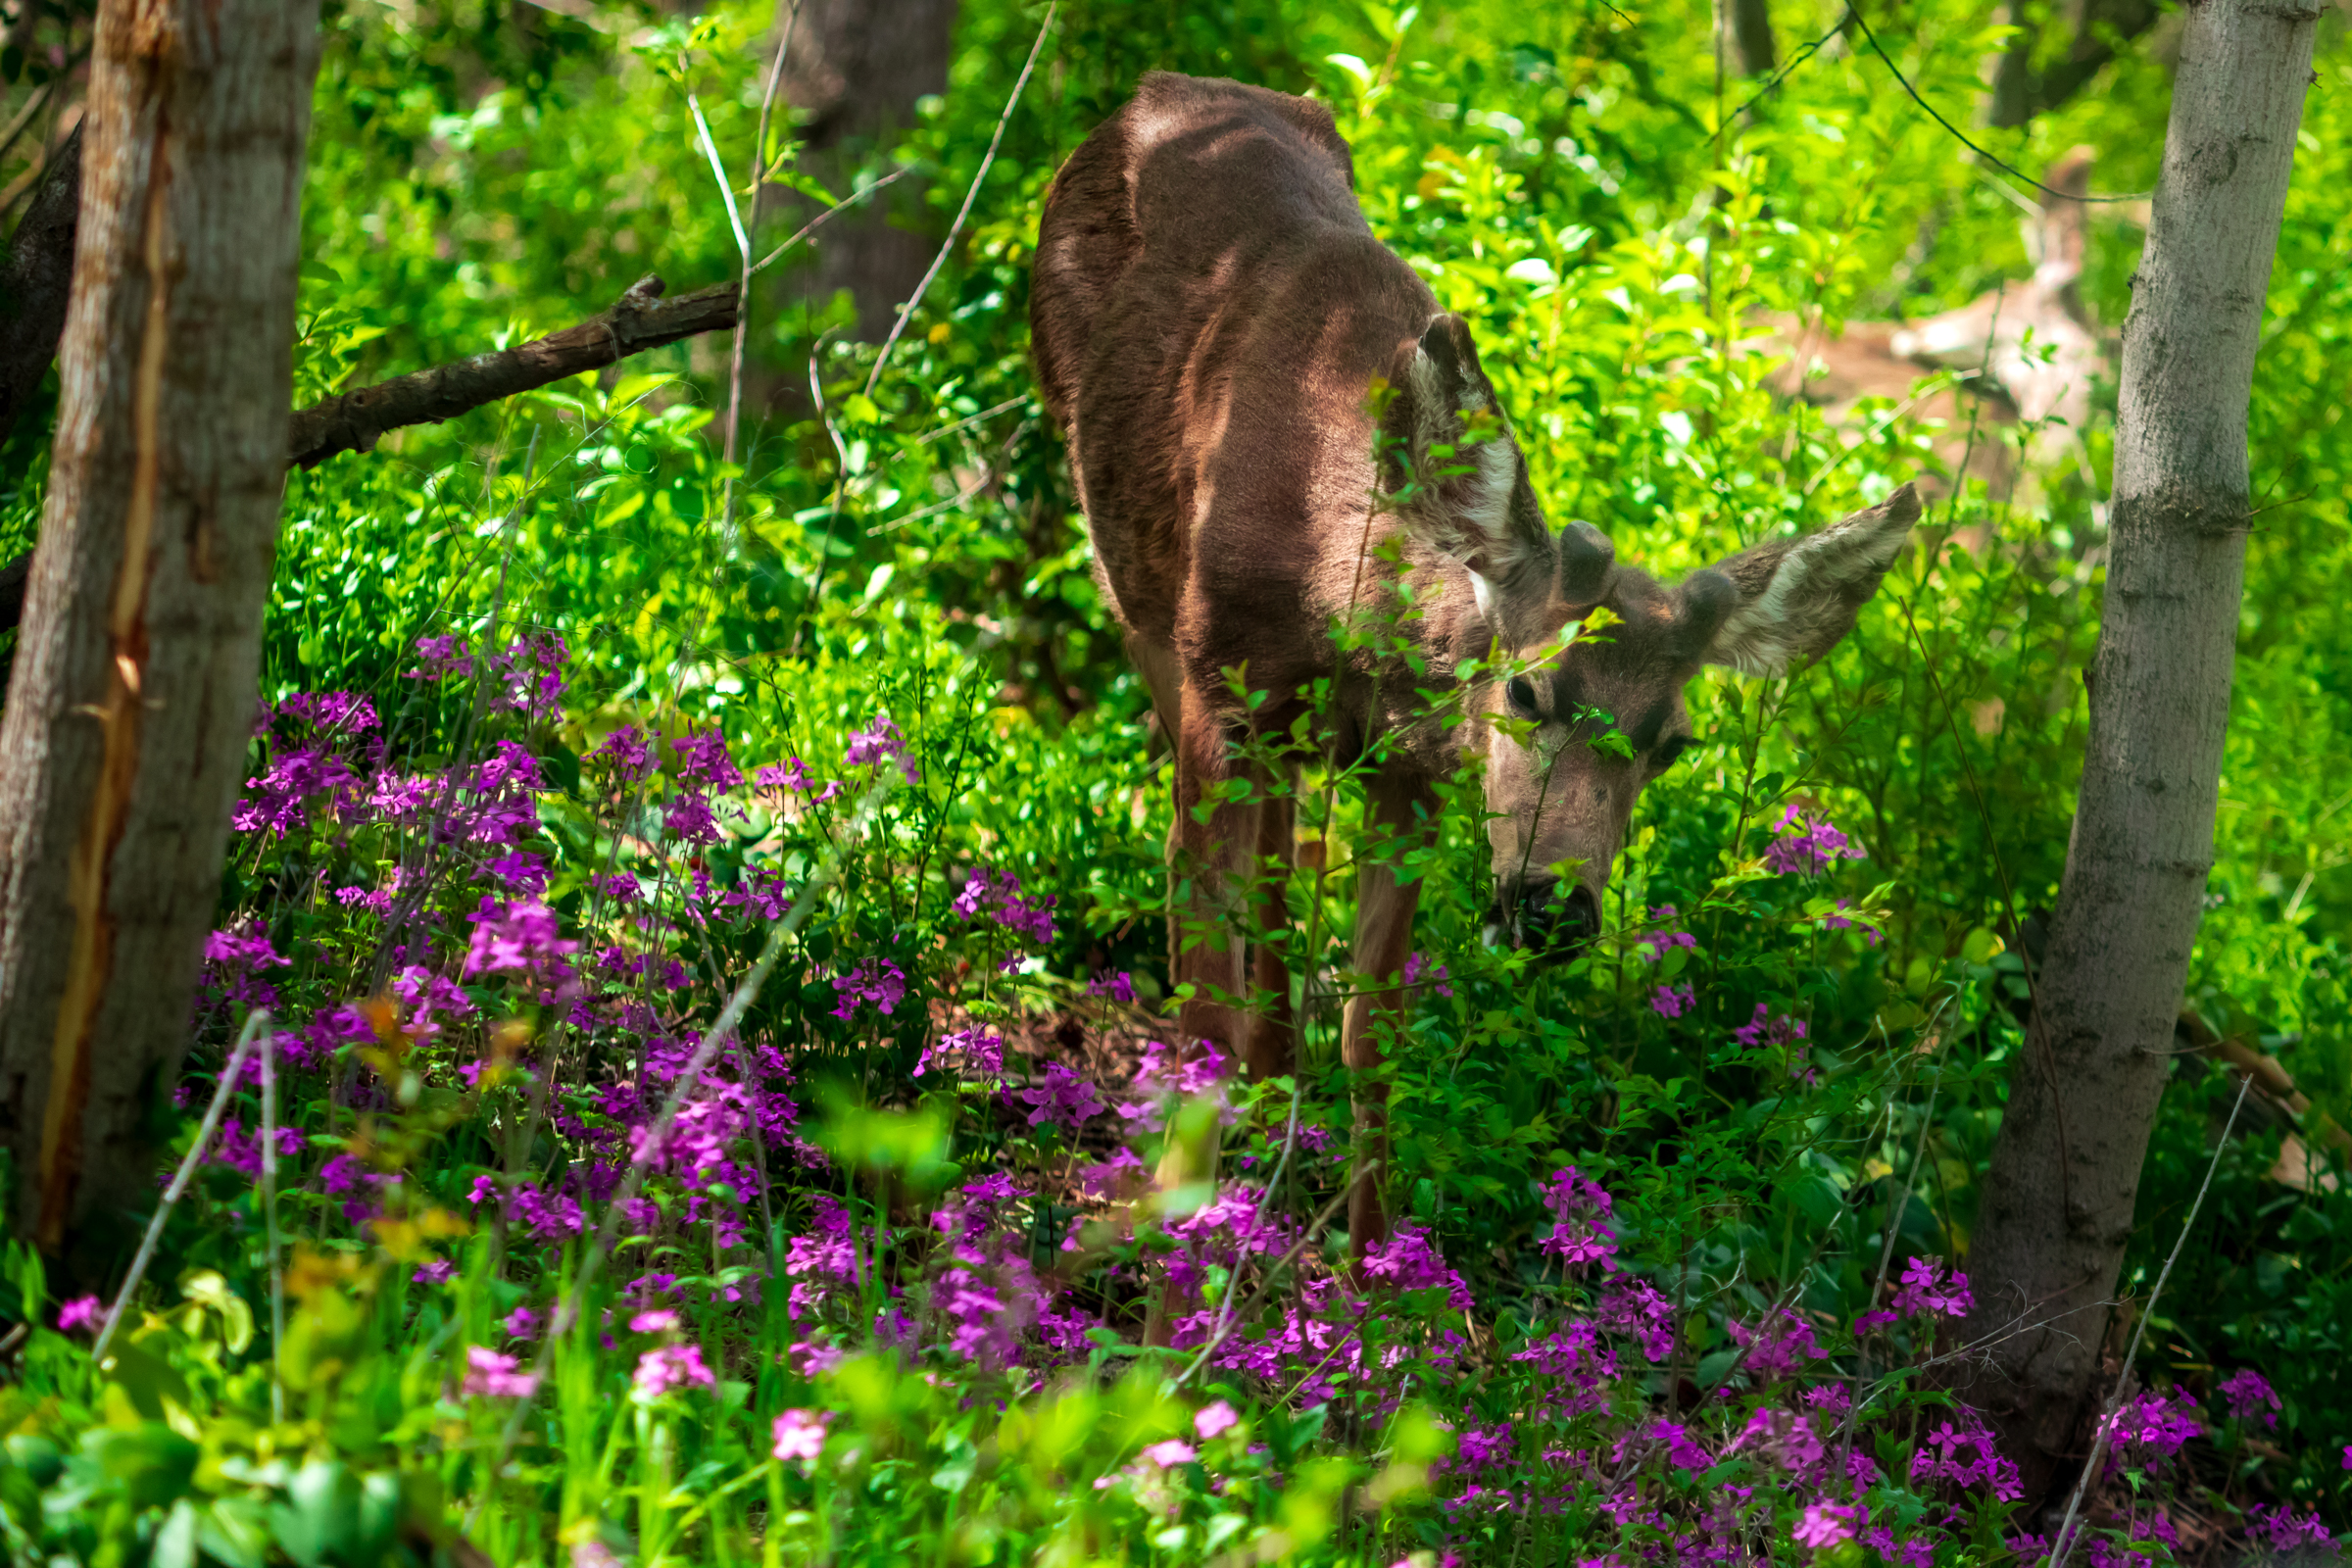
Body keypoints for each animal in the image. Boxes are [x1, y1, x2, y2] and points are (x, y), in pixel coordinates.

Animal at [1030, 75, 1909, 1278]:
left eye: (1673, 745)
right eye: (1528, 692)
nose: (1555, 911)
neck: (1339, 580)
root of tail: (1159, 91)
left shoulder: (1413, 769)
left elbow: (1377, 1023)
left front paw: (1373, 1274)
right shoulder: (1222, 690)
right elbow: (1201, 995)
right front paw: (1177, 1265)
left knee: (1283, 874)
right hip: (1129, 577)